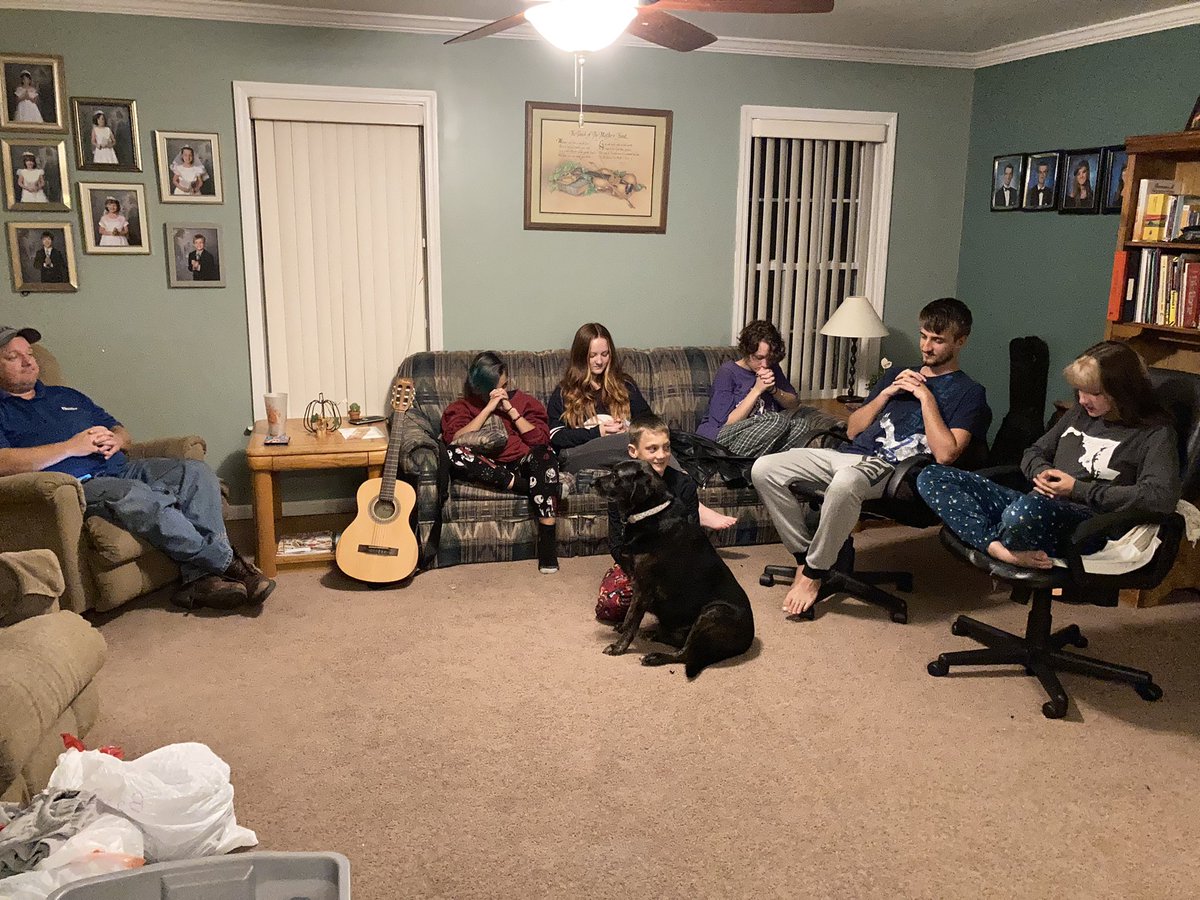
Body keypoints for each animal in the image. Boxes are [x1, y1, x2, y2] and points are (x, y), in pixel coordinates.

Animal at [595, 460, 753, 681]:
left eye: (616, 475)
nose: (592, 483)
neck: (650, 512)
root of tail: (747, 641)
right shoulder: (636, 582)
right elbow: (630, 614)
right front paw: (622, 628)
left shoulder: (644, 587)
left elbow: (633, 620)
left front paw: (619, 647)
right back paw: (653, 633)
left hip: (713, 613)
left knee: (685, 653)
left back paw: (655, 657)